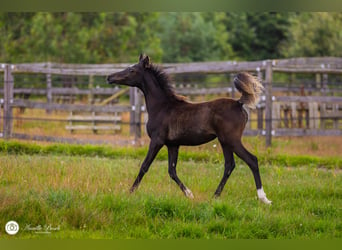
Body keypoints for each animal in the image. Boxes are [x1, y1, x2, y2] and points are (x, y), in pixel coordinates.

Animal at [107, 53, 272, 204]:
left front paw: (129, 193)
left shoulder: (157, 141)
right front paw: (189, 194)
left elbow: (145, 166)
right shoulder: (173, 144)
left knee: (252, 160)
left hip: (232, 140)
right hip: (224, 142)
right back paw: (215, 196)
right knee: (229, 165)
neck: (161, 107)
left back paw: (263, 198)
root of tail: (239, 103)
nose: (109, 77)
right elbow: (171, 170)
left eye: (132, 70)